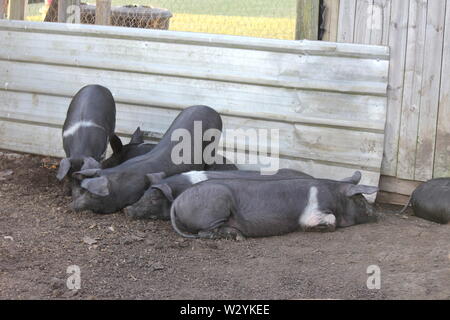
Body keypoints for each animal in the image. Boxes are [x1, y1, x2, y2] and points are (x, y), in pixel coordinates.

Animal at [171, 174, 378, 239]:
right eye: (360, 200)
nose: (376, 214)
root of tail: (177, 201)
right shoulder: (313, 211)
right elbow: (329, 219)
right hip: (217, 206)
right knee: (203, 233)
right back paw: (237, 237)